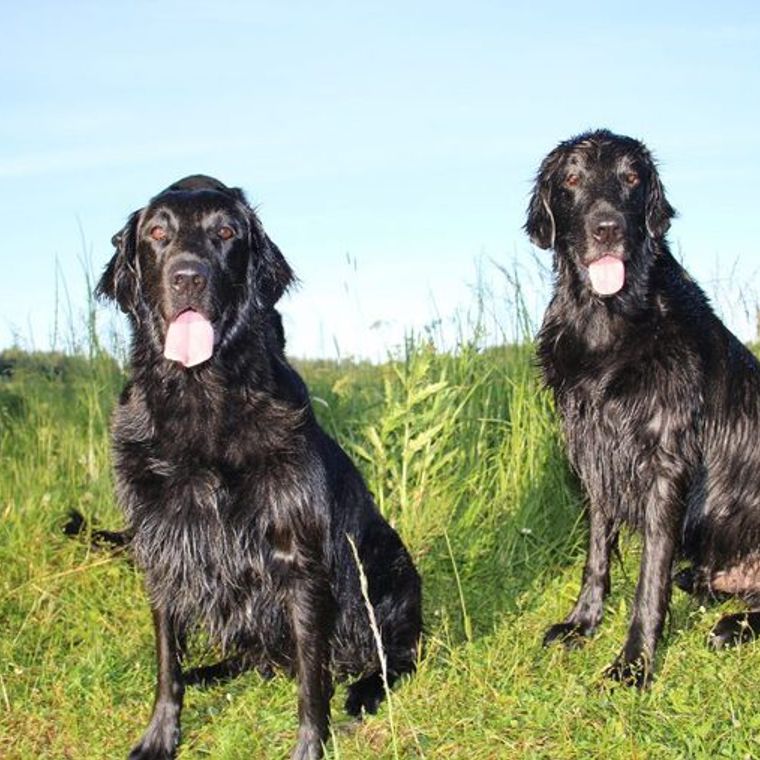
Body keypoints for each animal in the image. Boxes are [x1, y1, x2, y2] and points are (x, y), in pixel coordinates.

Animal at [95, 174, 422, 760]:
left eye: (226, 232)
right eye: (157, 233)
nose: (188, 276)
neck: (202, 395)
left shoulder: (300, 558)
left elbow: (312, 682)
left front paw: (311, 745)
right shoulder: (160, 549)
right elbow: (166, 664)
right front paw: (159, 735)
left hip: (391, 568)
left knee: (396, 653)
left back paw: (364, 689)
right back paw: (209, 671)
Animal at [524, 132, 760, 688]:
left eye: (632, 177)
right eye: (571, 179)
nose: (607, 228)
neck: (608, 324)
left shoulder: (665, 461)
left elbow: (650, 576)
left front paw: (634, 662)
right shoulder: (594, 455)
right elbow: (596, 554)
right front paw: (583, 622)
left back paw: (731, 626)